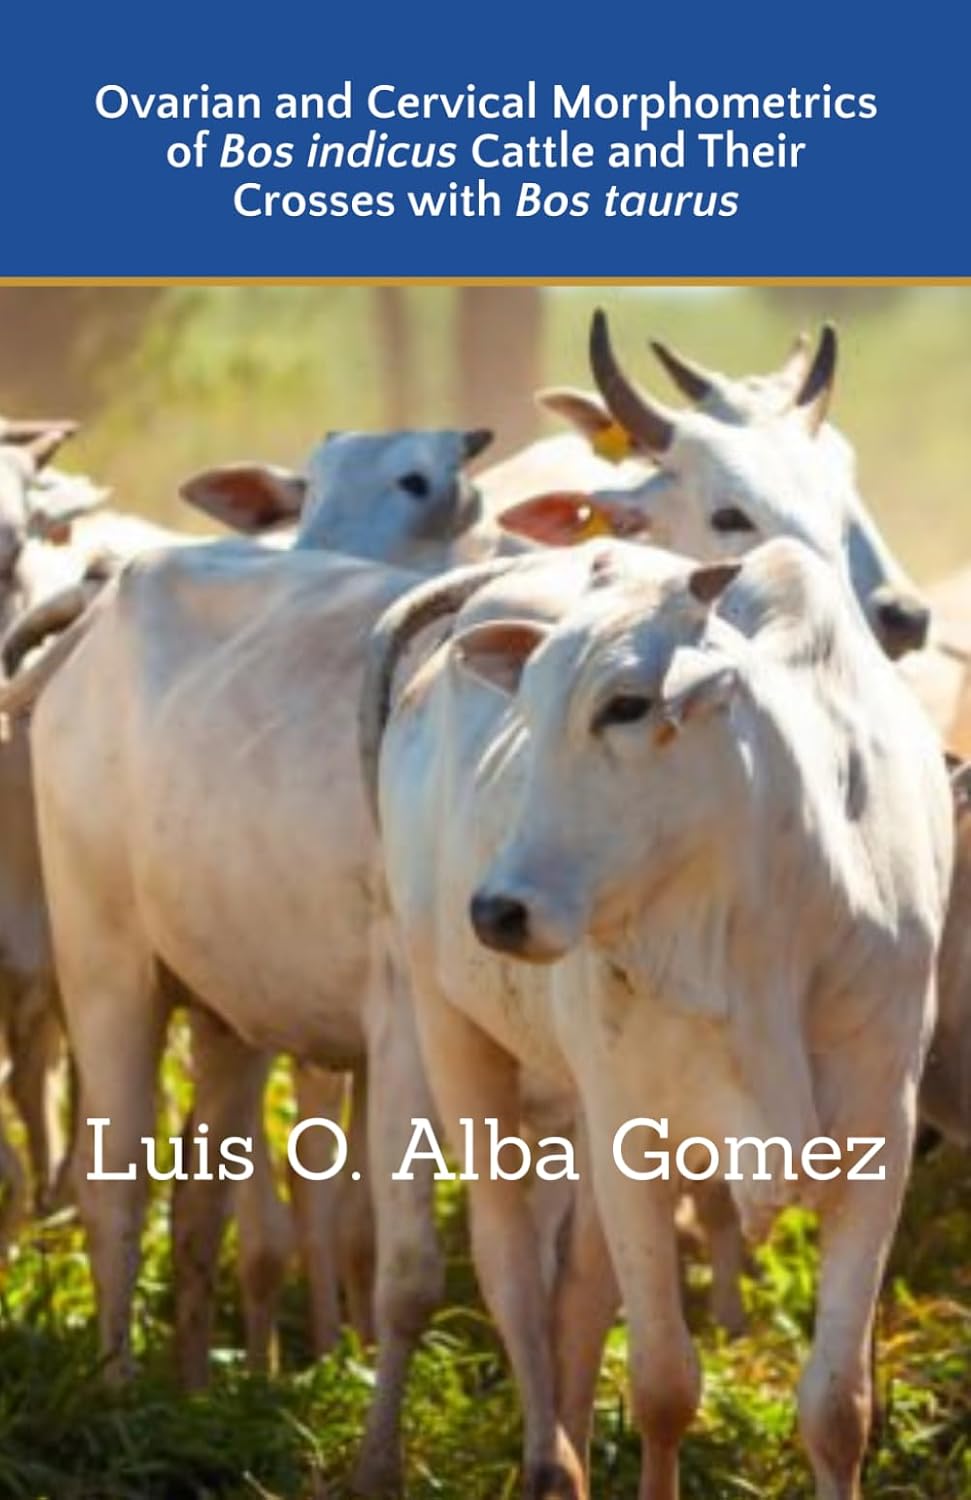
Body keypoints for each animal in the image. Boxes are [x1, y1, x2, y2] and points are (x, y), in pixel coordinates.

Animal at [363, 534, 953, 1500]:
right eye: (528, 706)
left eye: (627, 705)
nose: (496, 911)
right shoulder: (633, 1143)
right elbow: (664, 1386)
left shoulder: (880, 1138)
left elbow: (837, 1410)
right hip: (448, 1028)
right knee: (509, 1268)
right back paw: (535, 1459)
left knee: (576, 1292)